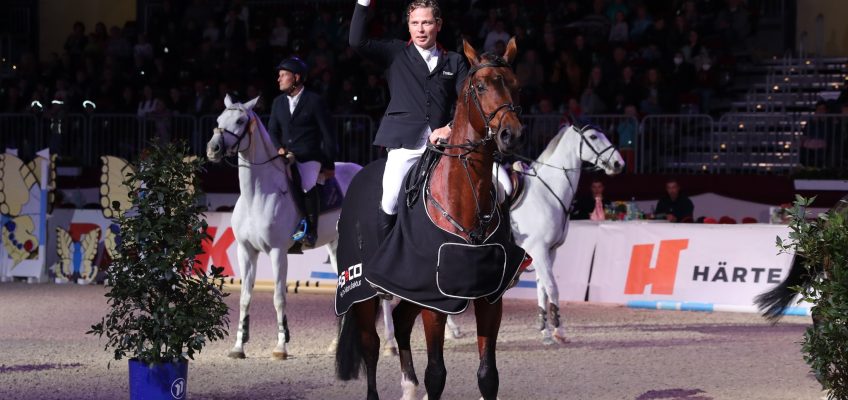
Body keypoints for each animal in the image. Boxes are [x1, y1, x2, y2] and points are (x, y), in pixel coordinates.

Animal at [336, 38, 524, 400]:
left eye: (515, 84)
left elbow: (488, 375)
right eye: (480, 87)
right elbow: (436, 374)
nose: (511, 135)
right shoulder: (434, 303)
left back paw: (409, 388)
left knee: (401, 322)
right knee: (370, 343)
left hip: (411, 291)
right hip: (361, 290)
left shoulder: (488, 299)